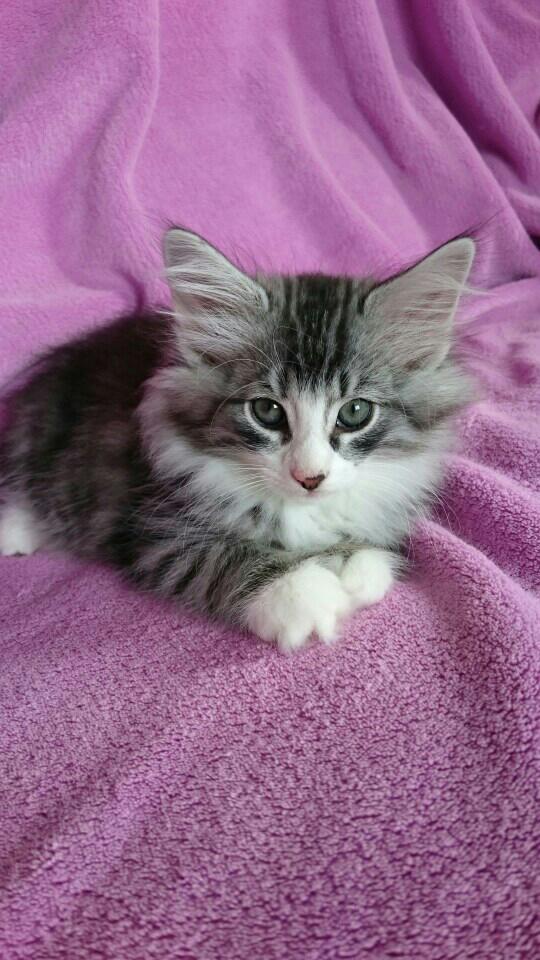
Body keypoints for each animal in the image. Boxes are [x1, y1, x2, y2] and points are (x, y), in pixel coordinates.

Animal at [0, 229, 474, 651]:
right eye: (267, 411)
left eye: (355, 413)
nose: (309, 478)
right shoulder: (155, 530)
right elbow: (223, 558)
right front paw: (303, 594)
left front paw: (359, 565)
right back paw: (15, 532)